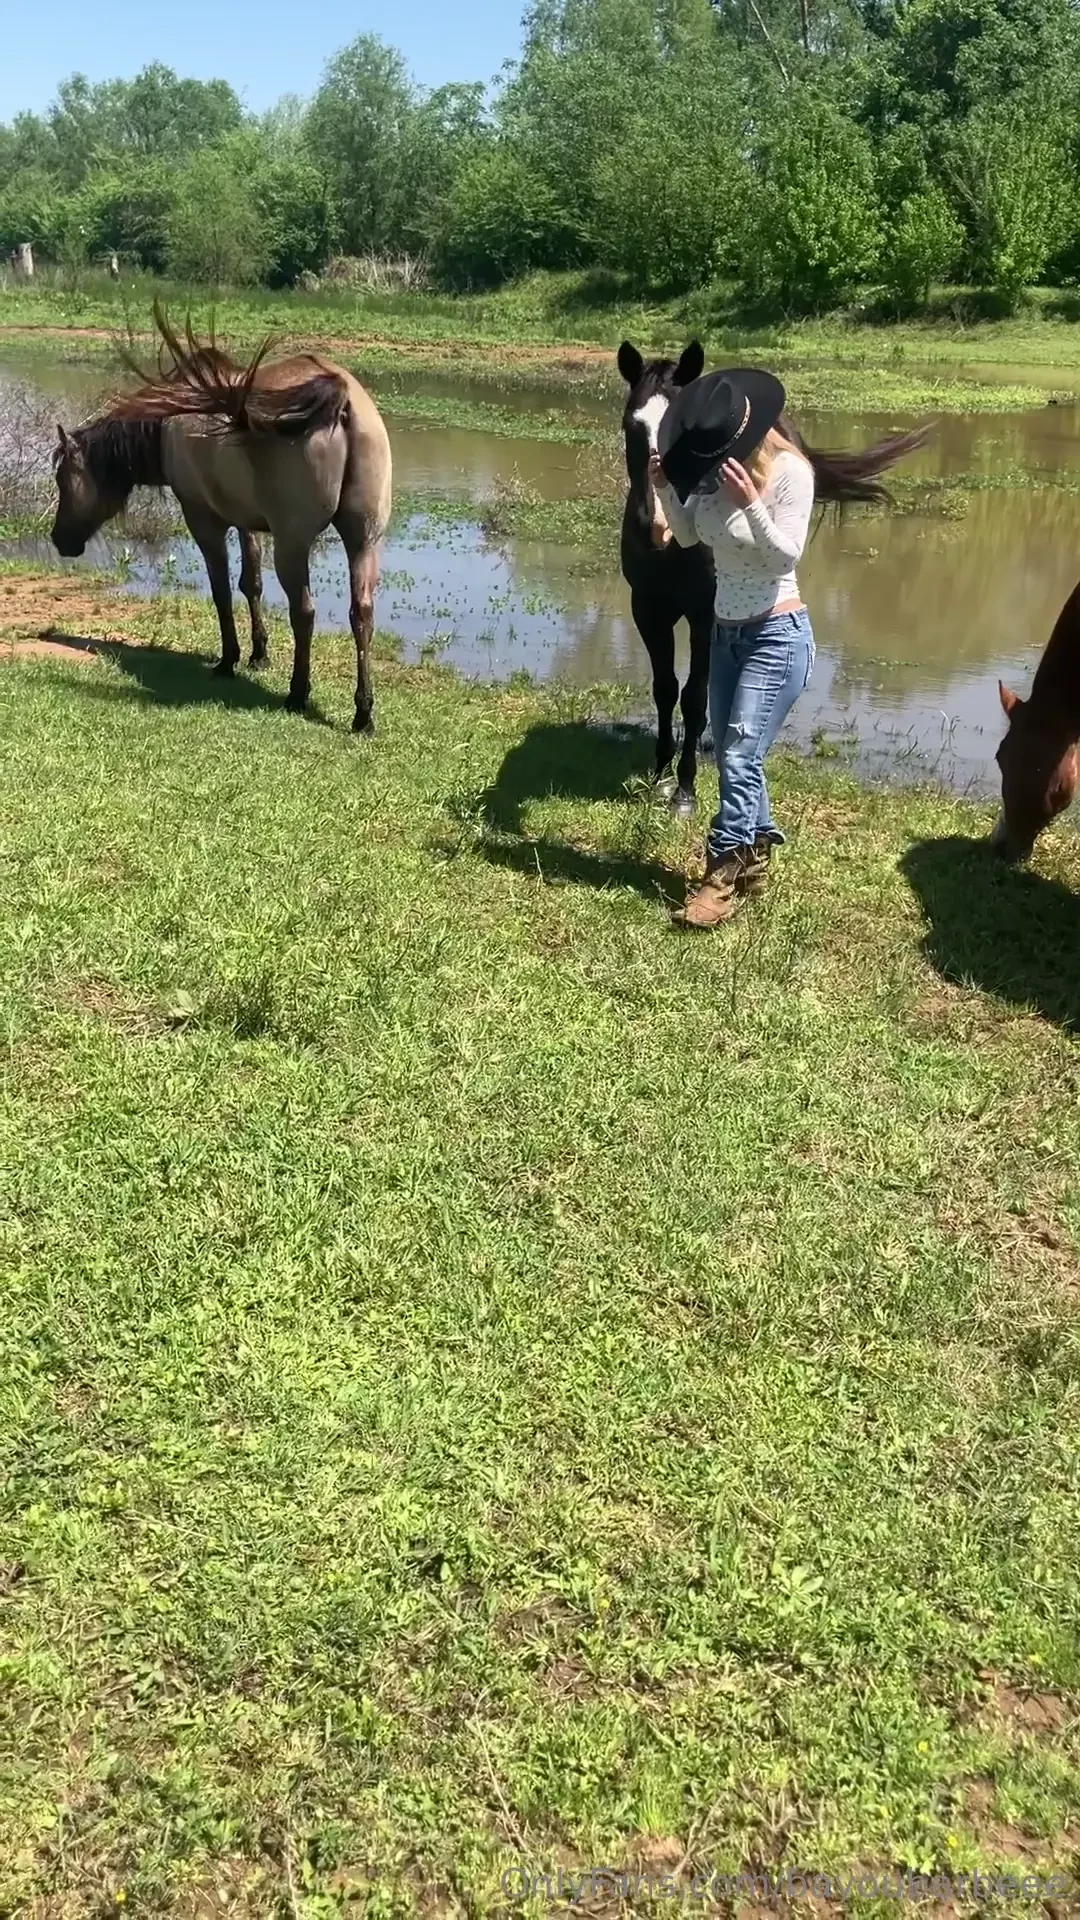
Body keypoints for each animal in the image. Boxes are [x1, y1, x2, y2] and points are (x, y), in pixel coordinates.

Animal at [50, 306, 392, 733]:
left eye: (63, 478)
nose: (59, 539)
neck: (166, 427)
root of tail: (343, 403)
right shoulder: (248, 522)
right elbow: (252, 584)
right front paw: (259, 654)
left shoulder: (203, 519)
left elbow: (221, 591)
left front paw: (229, 659)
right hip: (364, 540)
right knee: (362, 614)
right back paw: (364, 713)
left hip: (293, 543)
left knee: (304, 612)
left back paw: (298, 694)